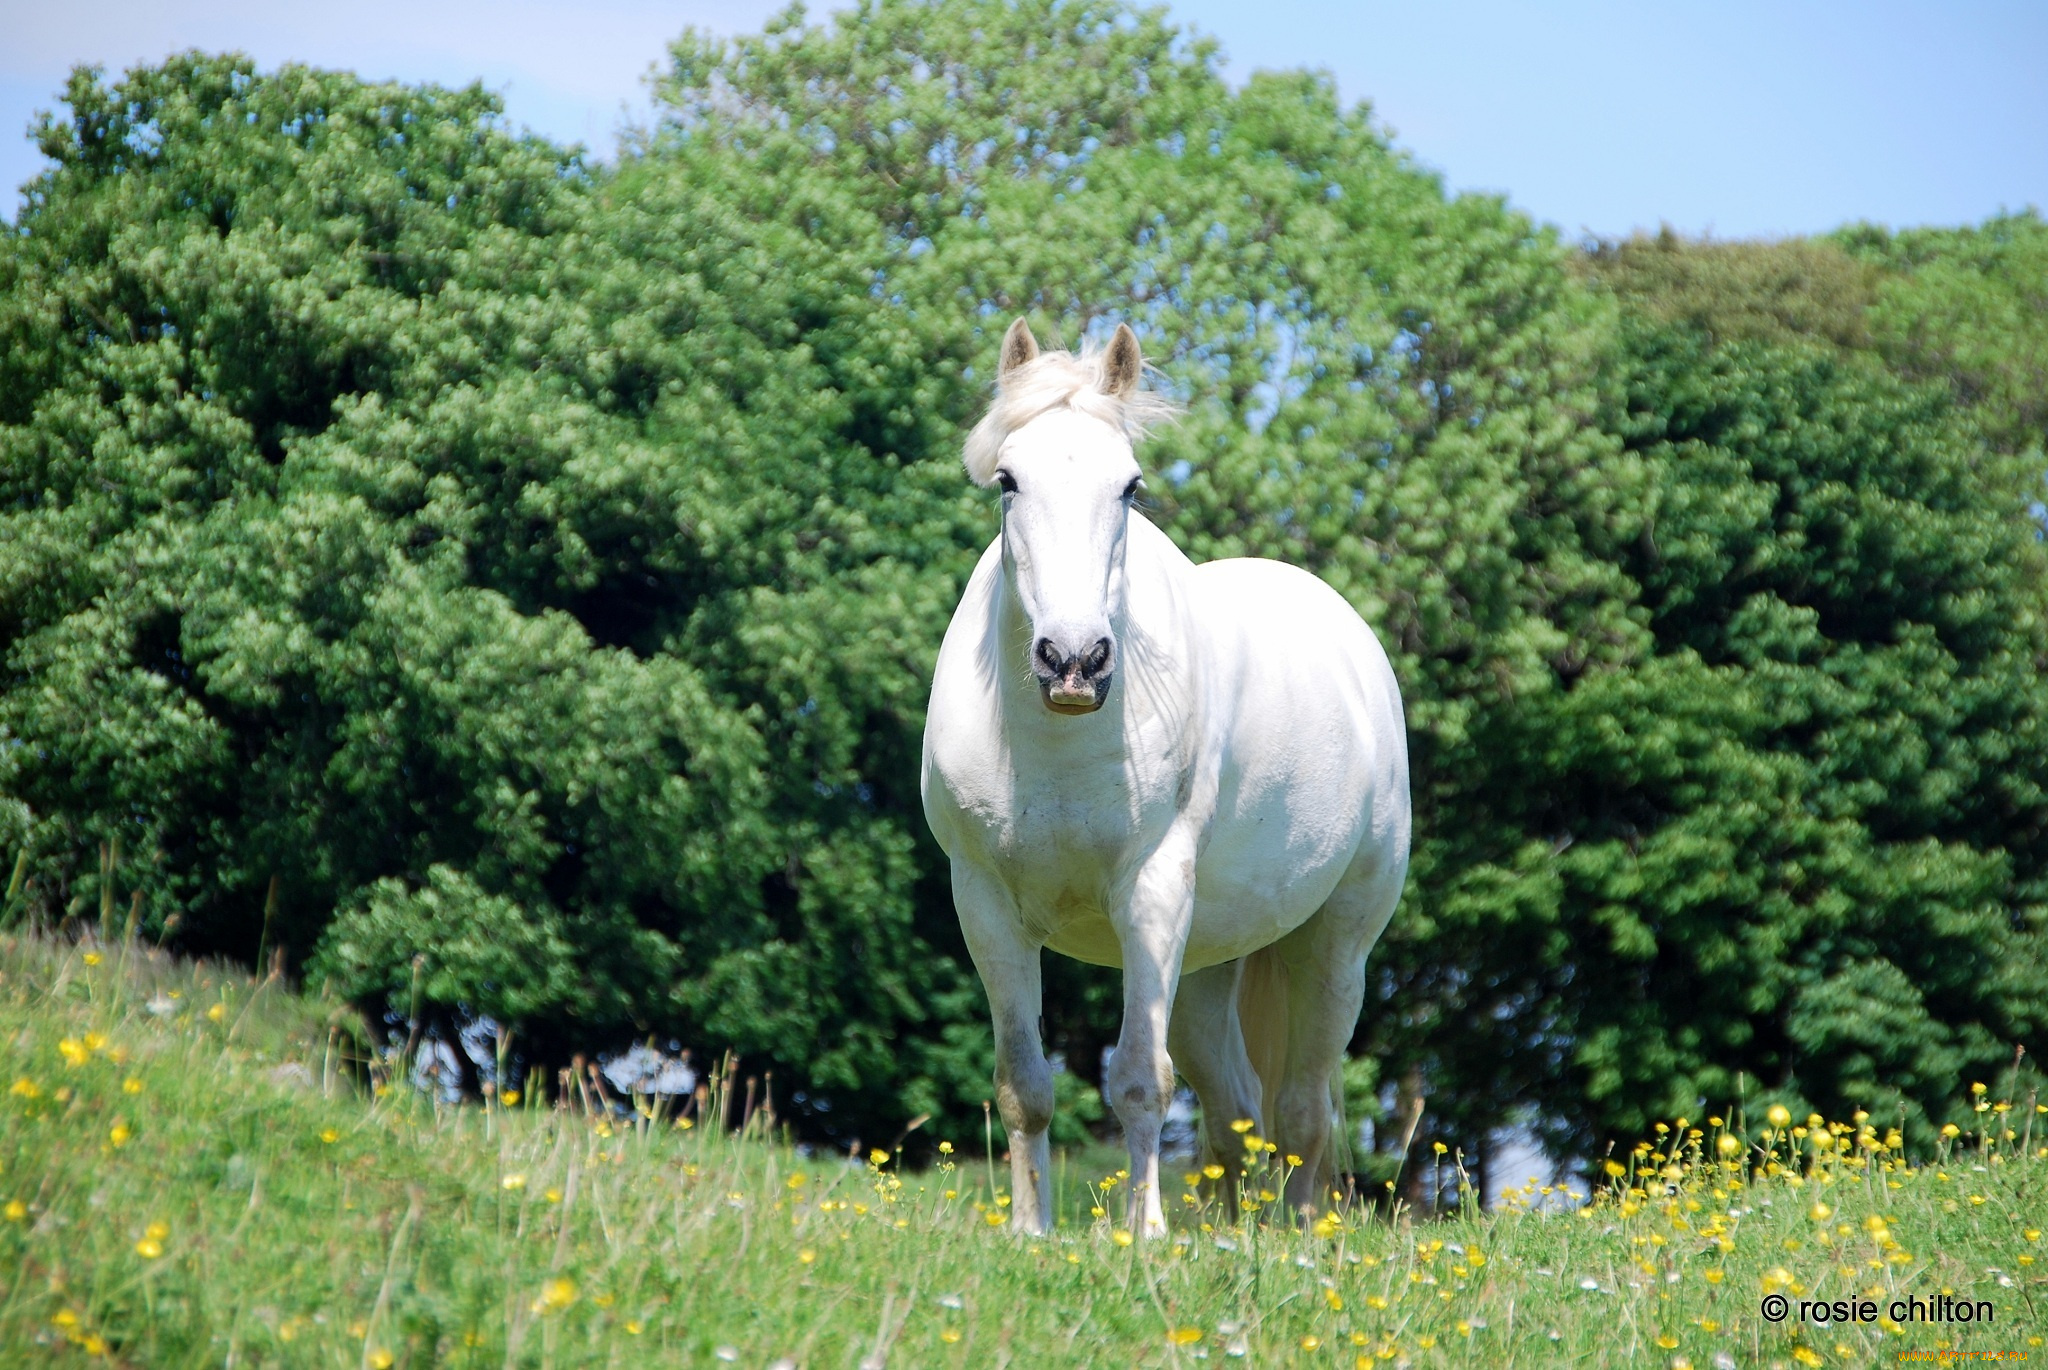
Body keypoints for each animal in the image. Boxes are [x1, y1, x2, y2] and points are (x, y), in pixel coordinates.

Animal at [925, 321, 1409, 1228]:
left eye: (1130, 487)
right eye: (1008, 479)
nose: (1073, 661)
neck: (1058, 746)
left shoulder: (1149, 894)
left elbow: (1141, 1082)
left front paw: (1142, 1234)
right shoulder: (985, 906)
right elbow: (1024, 1088)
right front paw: (1031, 1229)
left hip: (1334, 946)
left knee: (1300, 1110)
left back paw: (1298, 1235)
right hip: (1207, 965)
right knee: (1236, 1112)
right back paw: (1226, 1234)